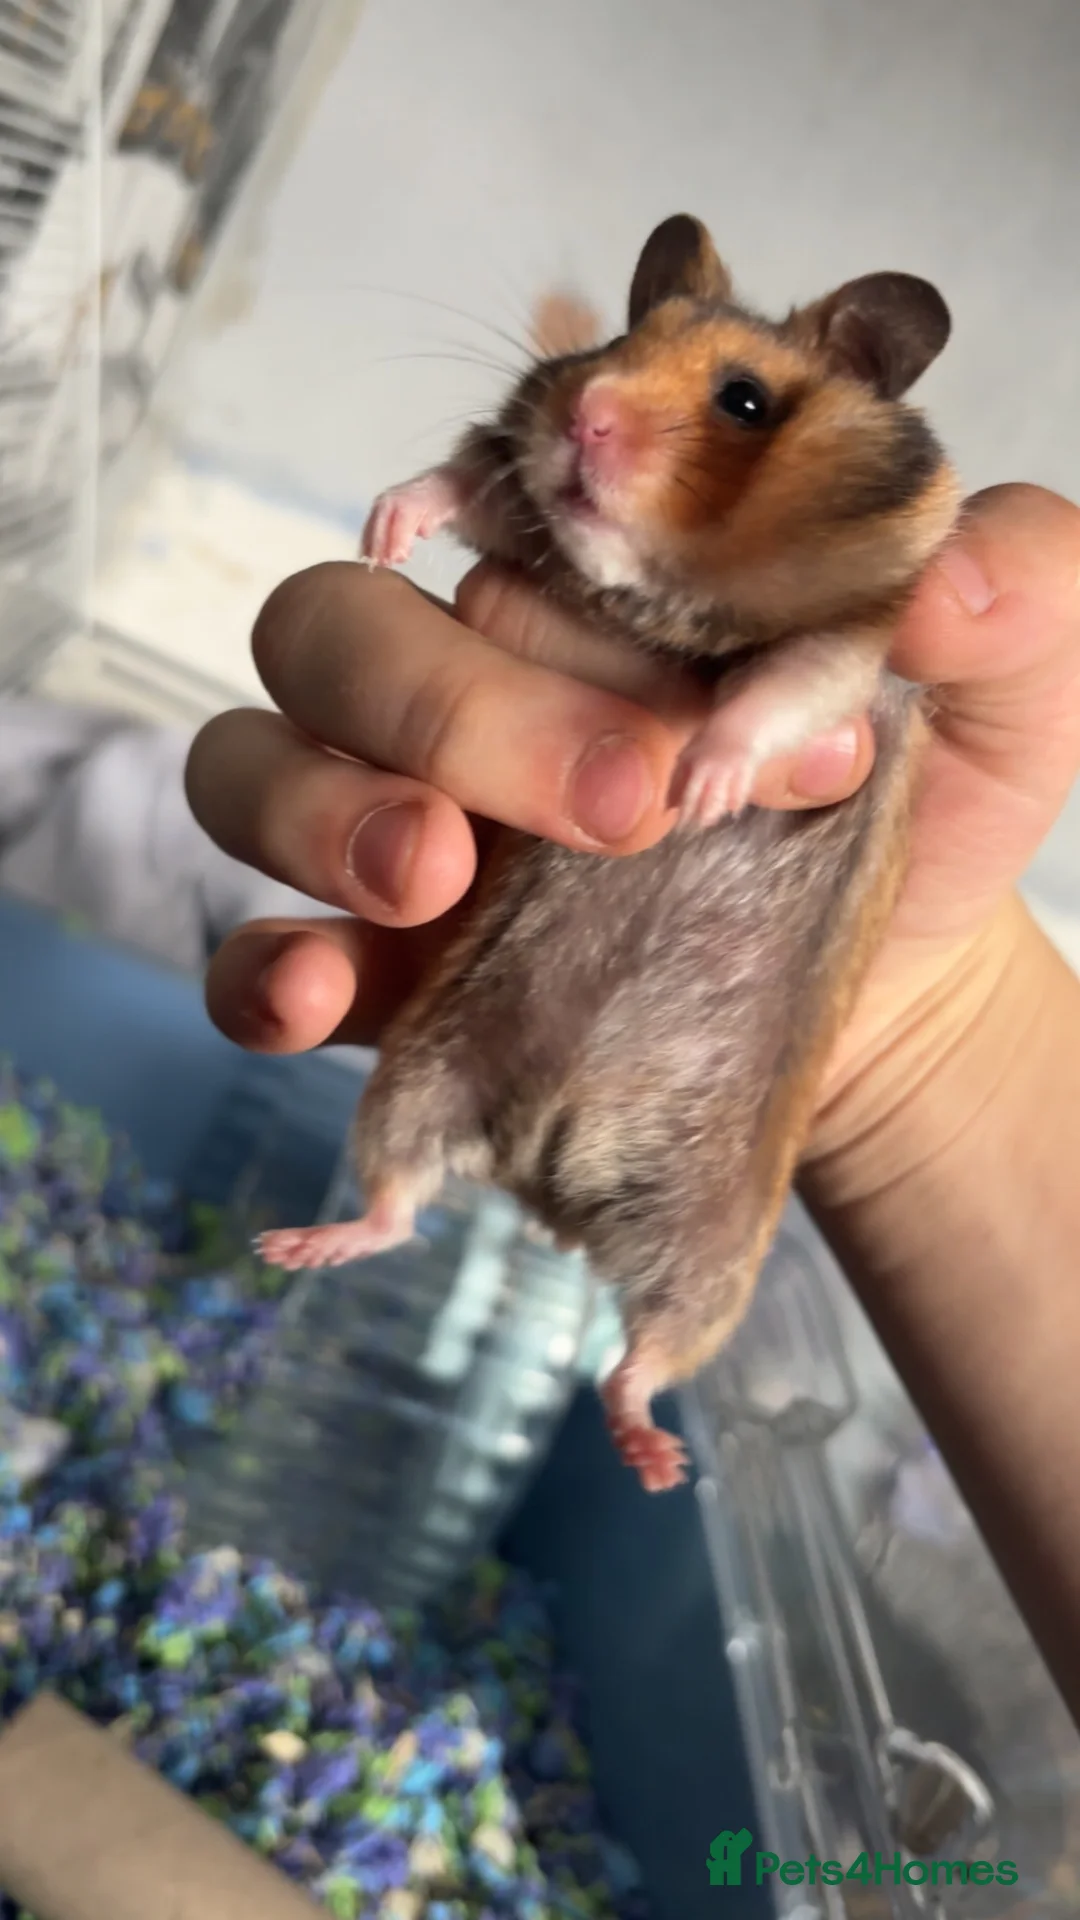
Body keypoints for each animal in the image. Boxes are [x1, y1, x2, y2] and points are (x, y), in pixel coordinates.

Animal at [257, 214, 960, 1495]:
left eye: (745, 401)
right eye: (613, 344)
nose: (584, 415)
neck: (663, 603)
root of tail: (544, 1186)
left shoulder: (856, 648)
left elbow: (777, 697)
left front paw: (701, 782)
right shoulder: (517, 507)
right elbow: (468, 478)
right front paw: (385, 531)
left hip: (712, 1253)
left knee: (640, 1358)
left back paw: (658, 1461)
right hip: (420, 1080)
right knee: (399, 1209)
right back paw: (297, 1247)